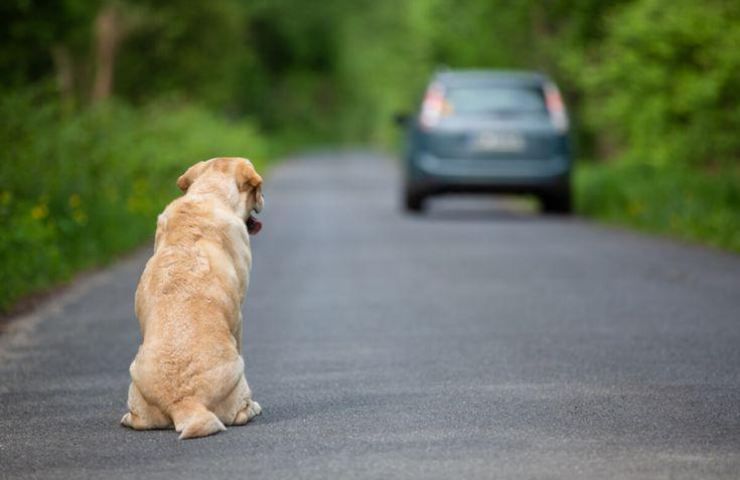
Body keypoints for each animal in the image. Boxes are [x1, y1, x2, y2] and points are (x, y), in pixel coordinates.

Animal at [123, 157, 266, 438]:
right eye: (257, 190)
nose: (263, 200)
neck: (209, 194)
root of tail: (185, 402)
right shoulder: (239, 317)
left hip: (135, 379)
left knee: (137, 419)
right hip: (238, 371)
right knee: (240, 413)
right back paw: (252, 408)